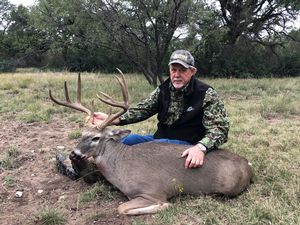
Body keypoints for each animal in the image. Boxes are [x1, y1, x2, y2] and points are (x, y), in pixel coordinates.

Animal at [49, 70, 253, 214]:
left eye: (96, 138)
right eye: (81, 133)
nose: (73, 154)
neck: (121, 166)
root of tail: (248, 166)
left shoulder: (153, 191)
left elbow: (122, 208)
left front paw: (164, 206)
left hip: (229, 188)